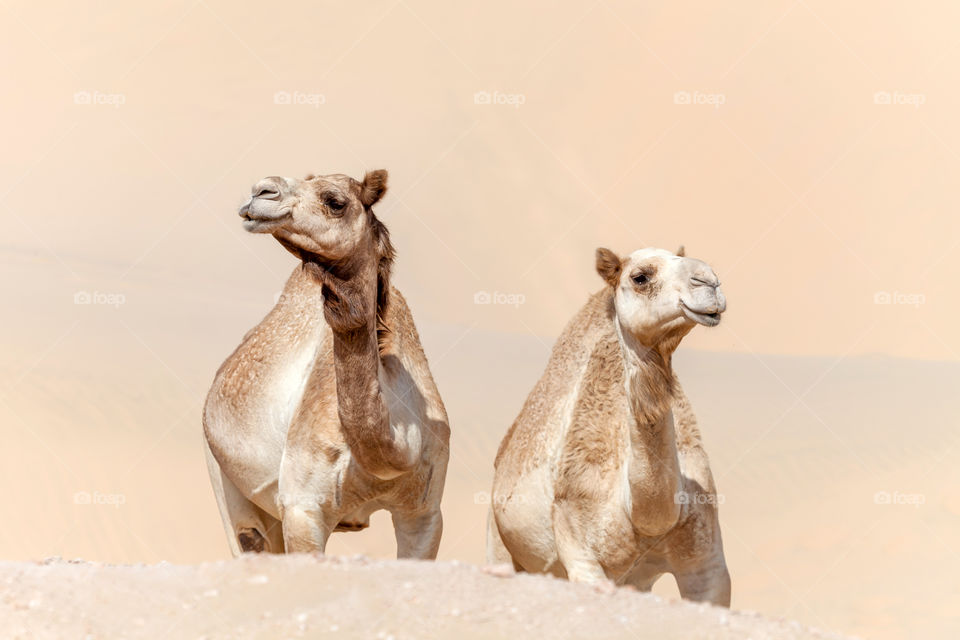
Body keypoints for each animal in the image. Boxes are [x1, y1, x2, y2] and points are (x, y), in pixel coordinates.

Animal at [203, 169, 450, 559]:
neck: (395, 447)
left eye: (335, 201)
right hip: (222, 473)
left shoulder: (426, 514)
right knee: (248, 537)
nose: (262, 191)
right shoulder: (303, 508)